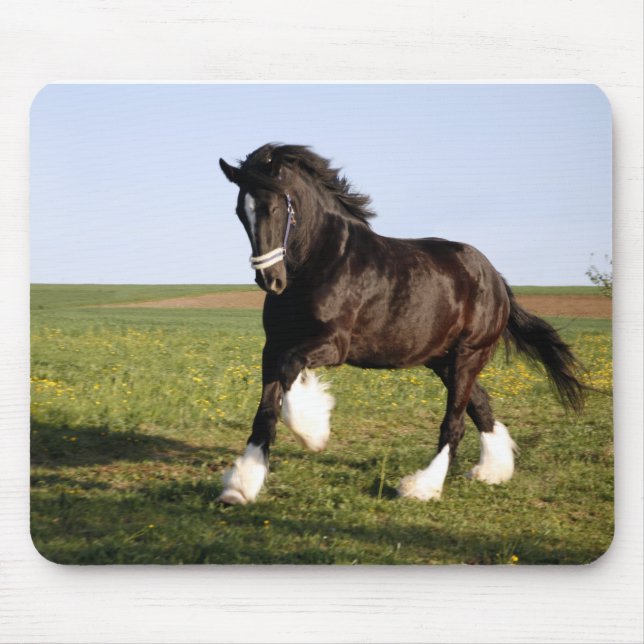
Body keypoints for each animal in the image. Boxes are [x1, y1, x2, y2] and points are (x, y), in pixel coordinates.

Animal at [217, 143, 585, 505]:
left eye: (273, 207)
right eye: (240, 212)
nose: (270, 280)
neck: (321, 260)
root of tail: (496, 279)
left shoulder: (334, 344)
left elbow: (291, 371)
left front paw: (314, 433)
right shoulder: (273, 346)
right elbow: (266, 413)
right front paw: (239, 487)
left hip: (469, 354)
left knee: (455, 423)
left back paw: (422, 487)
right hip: (443, 361)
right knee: (480, 406)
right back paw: (492, 471)